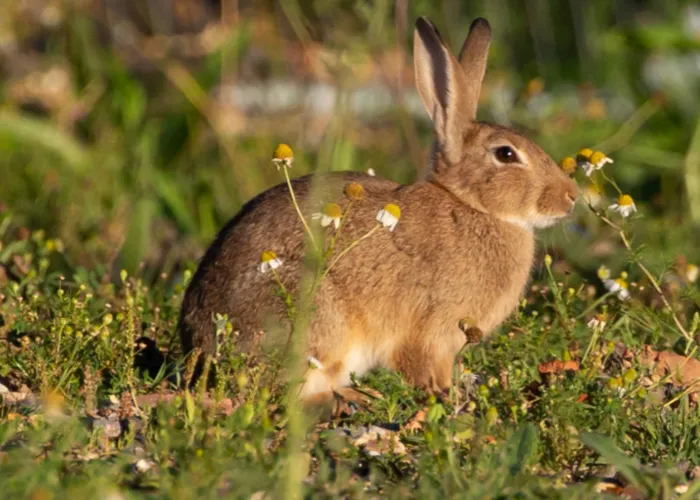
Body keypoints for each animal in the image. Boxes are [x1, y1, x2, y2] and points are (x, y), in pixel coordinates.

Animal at [179, 16, 580, 406]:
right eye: (506, 154)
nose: (571, 196)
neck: (471, 206)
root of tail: (198, 347)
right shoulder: (430, 327)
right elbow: (423, 365)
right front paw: (444, 396)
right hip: (313, 316)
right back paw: (357, 395)